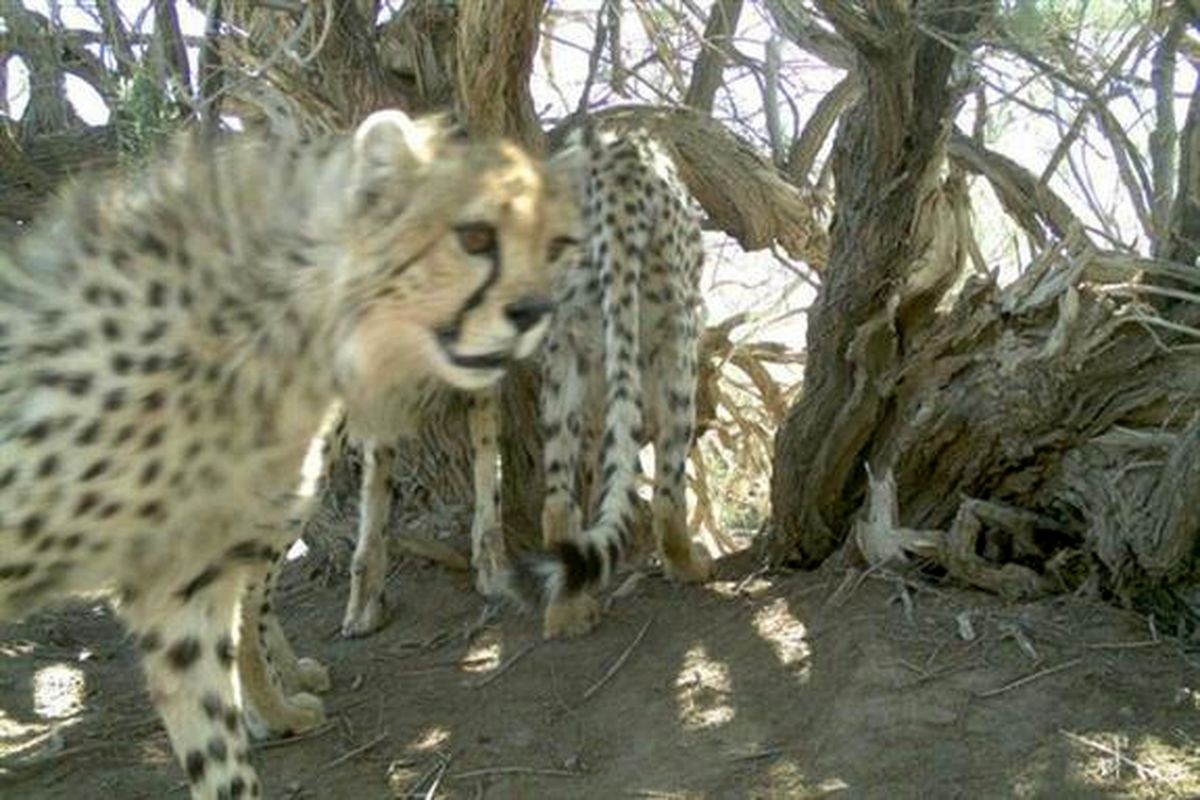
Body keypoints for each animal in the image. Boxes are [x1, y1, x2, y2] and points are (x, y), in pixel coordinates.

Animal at [333, 122, 710, 642]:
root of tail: (616, 157)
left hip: (565, 357)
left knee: (558, 497)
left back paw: (563, 610)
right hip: (676, 341)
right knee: (669, 481)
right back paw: (686, 565)